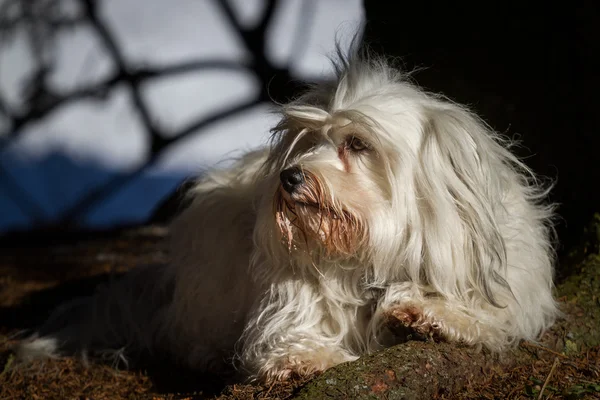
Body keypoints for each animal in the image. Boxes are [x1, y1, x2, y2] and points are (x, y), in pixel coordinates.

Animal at [17, 49, 556, 382]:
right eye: (308, 139)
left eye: (357, 143)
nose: (291, 177)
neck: (369, 253)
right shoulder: (288, 304)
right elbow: (291, 339)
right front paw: (308, 359)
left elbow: (485, 314)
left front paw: (432, 313)